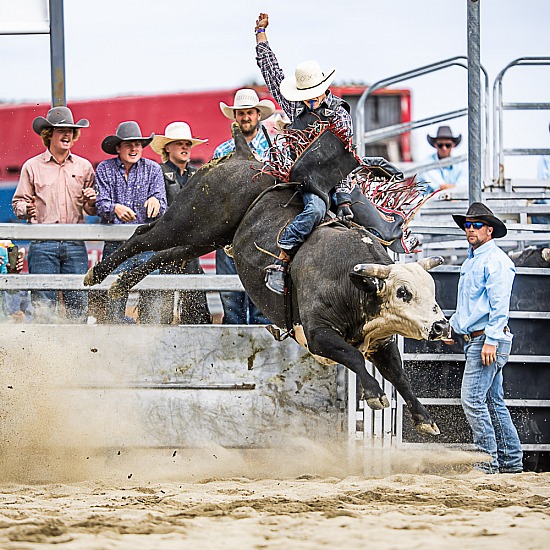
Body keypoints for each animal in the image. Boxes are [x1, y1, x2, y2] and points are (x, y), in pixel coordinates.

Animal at [84, 124, 450, 436]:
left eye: (432, 291)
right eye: (402, 292)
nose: (441, 326)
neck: (350, 280)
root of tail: (244, 156)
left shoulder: (381, 340)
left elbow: (399, 374)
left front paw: (425, 419)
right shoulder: (318, 335)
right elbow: (354, 358)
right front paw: (374, 394)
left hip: (204, 238)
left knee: (163, 254)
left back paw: (118, 284)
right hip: (190, 218)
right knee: (144, 235)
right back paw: (96, 275)